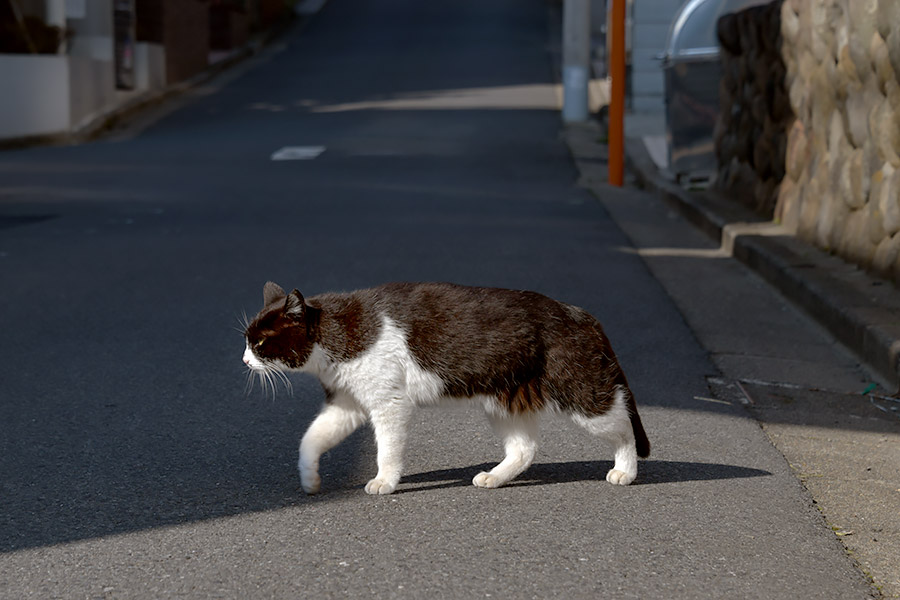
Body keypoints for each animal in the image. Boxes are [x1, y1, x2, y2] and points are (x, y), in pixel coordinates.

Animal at [243, 284, 652, 494]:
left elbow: (387, 449)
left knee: (624, 426)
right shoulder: (348, 403)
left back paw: (625, 472)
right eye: (247, 341)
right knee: (524, 449)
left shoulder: (389, 403)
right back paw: (493, 478)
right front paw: (309, 478)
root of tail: (582, 314)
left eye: (260, 343)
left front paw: (384, 481)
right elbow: (312, 439)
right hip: (504, 400)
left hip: (582, 394)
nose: (245, 361)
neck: (337, 332)